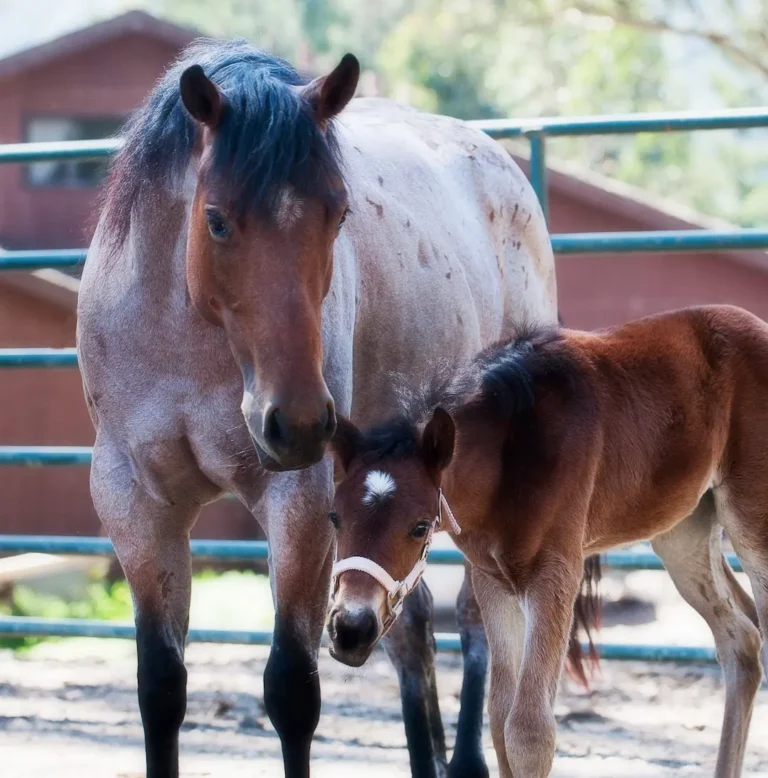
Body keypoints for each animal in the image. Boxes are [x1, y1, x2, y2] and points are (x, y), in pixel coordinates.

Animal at [76, 38, 557, 778]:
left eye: (339, 214)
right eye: (217, 219)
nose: (298, 422)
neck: (182, 337)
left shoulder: (301, 503)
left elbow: (292, 690)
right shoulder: (135, 503)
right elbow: (160, 687)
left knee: (479, 619)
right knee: (412, 629)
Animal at [328, 304, 768, 778]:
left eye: (421, 526)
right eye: (334, 517)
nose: (350, 629)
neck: (513, 452)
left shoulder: (555, 574)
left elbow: (529, 731)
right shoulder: (494, 581)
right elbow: (501, 717)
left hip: (752, 521)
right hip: (683, 533)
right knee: (740, 639)